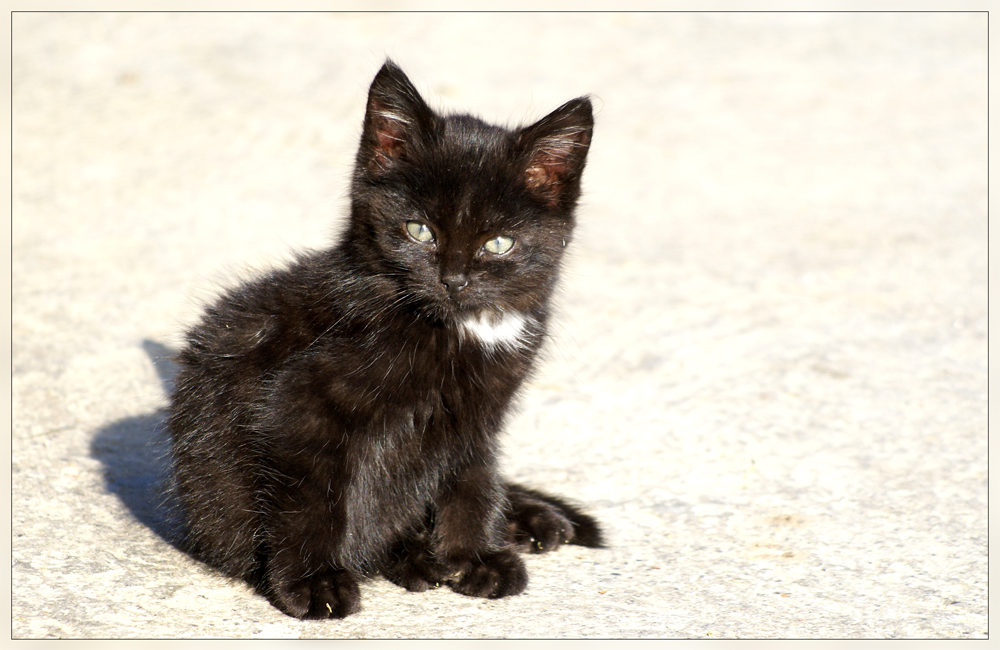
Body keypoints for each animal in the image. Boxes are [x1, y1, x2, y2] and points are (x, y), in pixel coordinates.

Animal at [169, 60, 600, 616]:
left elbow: (473, 480)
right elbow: (314, 498)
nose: (453, 280)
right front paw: (314, 581)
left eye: (498, 243)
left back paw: (524, 520)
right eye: (419, 232)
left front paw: (476, 555)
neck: (457, 328)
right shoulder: (299, 403)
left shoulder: (476, 416)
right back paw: (414, 556)